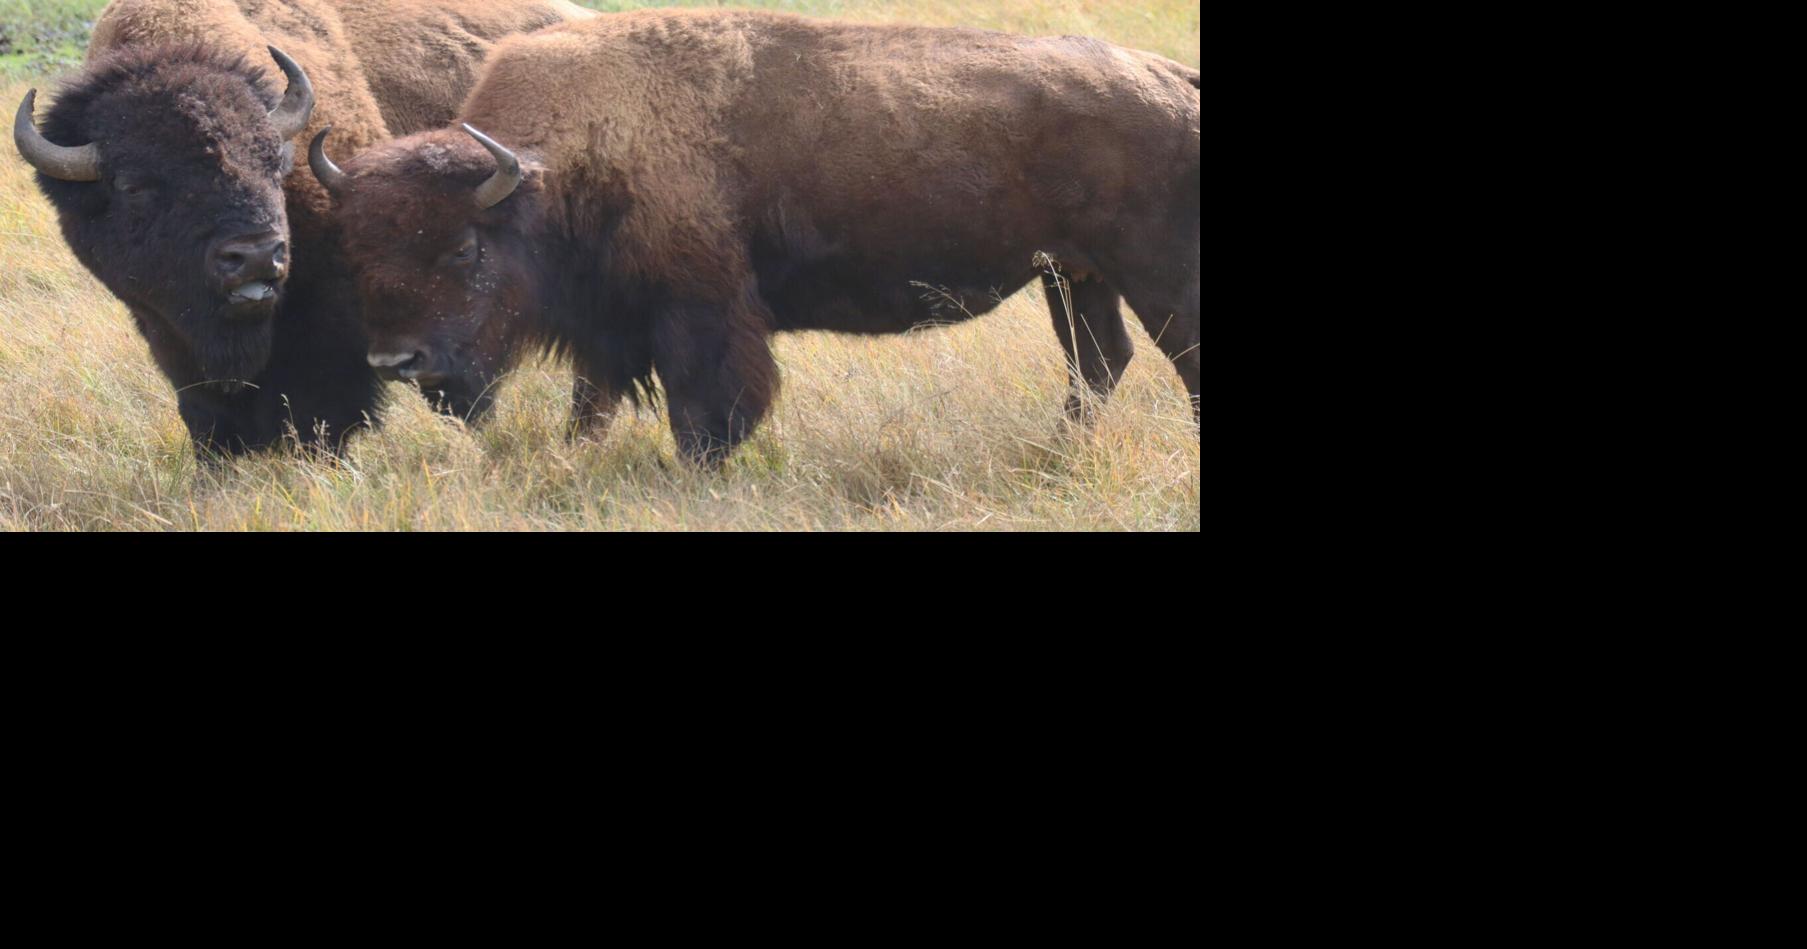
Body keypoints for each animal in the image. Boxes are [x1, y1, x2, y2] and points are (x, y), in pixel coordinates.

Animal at [12, 0, 592, 456]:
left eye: (273, 161)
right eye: (133, 185)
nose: (254, 255)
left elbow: (327, 410)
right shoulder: (168, 332)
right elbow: (203, 416)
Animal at [311, 9, 1201, 464]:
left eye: (463, 249)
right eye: (355, 252)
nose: (396, 361)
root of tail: (1169, 79)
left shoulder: (699, 309)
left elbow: (708, 404)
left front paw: (699, 470)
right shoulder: (610, 324)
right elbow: (593, 401)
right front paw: (577, 455)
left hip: (1150, 273)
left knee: (1172, 358)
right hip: (1073, 276)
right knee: (1098, 362)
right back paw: (1056, 452)